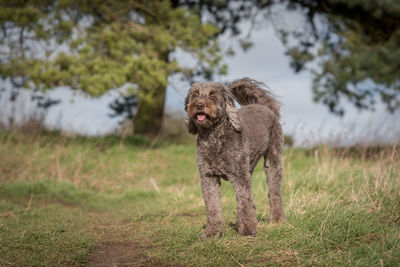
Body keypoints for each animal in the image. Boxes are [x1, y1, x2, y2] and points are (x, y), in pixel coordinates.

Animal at [186, 77, 286, 239]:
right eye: (195, 94)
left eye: (212, 95)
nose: (199, 105)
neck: (214, 136)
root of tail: (264, 106)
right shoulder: (209, 177)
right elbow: (213, 207)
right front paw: (212, 233)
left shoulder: (240, 176)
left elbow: (244, 202)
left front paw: (248, 231)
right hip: (249, 167)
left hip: (273, 161)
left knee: (274, 193)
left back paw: (277, 219)